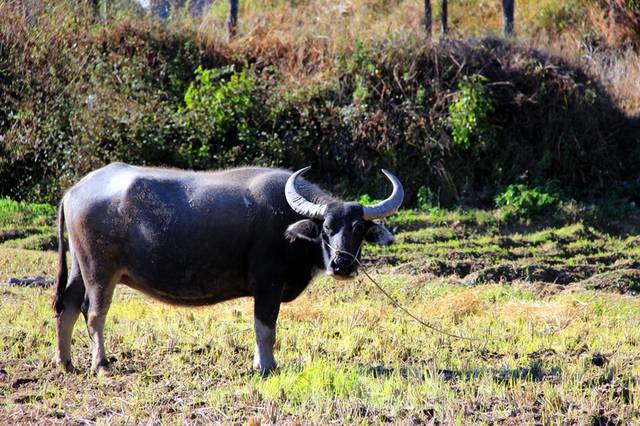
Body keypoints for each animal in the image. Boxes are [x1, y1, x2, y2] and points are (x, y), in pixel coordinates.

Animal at [52, 163, 402, 372]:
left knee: (67, 307)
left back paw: (66, 362)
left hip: (80, 268)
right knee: (94, 313)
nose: (343, 264)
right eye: (326, 228)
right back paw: (101, 364)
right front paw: (266, 366)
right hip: (100, 271)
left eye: (358, 228)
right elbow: (265, 328)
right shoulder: (268, 283)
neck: (288, 224)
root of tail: (73, 191)